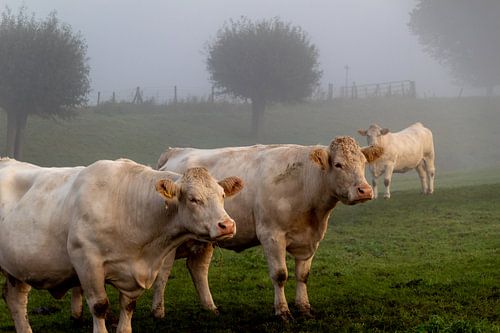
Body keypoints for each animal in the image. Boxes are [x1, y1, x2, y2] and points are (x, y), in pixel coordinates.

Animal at [0, 158, 242, 332]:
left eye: (222, 195)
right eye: (193, 199)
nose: (227, 225)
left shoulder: (132, 273)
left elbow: (128, 308)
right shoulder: (87, 261)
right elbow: (99, 306)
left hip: (18, 268)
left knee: (16, 300)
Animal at [151, 136, 382, 320]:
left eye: (363, 163)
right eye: (338, 164)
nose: (365, 190)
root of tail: (174, 152)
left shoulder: (310, 238)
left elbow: (303, 275)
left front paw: (304, 307)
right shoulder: (271, 235)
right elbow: (280, 275)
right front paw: (283, 311)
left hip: (208, 236)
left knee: (198, 268)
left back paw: (211, 308)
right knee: (163, 272)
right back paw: (158, 312)